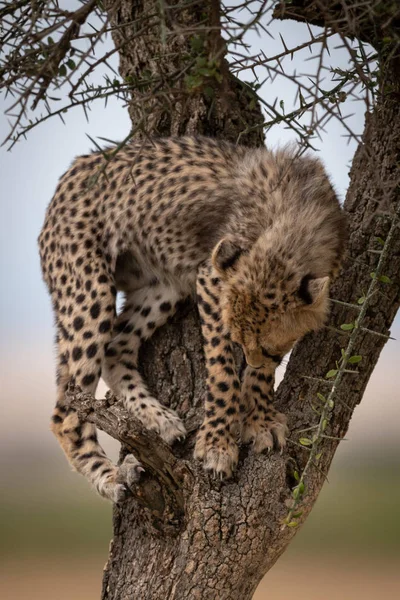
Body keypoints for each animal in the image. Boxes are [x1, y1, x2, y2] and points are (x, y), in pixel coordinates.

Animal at [39, 137, 346, 502]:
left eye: (269, 350)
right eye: (238, 341)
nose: (252, 359)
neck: (289, 235)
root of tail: (76, 168)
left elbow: (259, 376)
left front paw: (259, 420)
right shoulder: (210, 281)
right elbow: (222, 373)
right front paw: (217, 447)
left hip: (164, 285)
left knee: (115, 350)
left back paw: (158, 419)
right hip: (90, 292)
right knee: (65, 412)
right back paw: (109, 476)